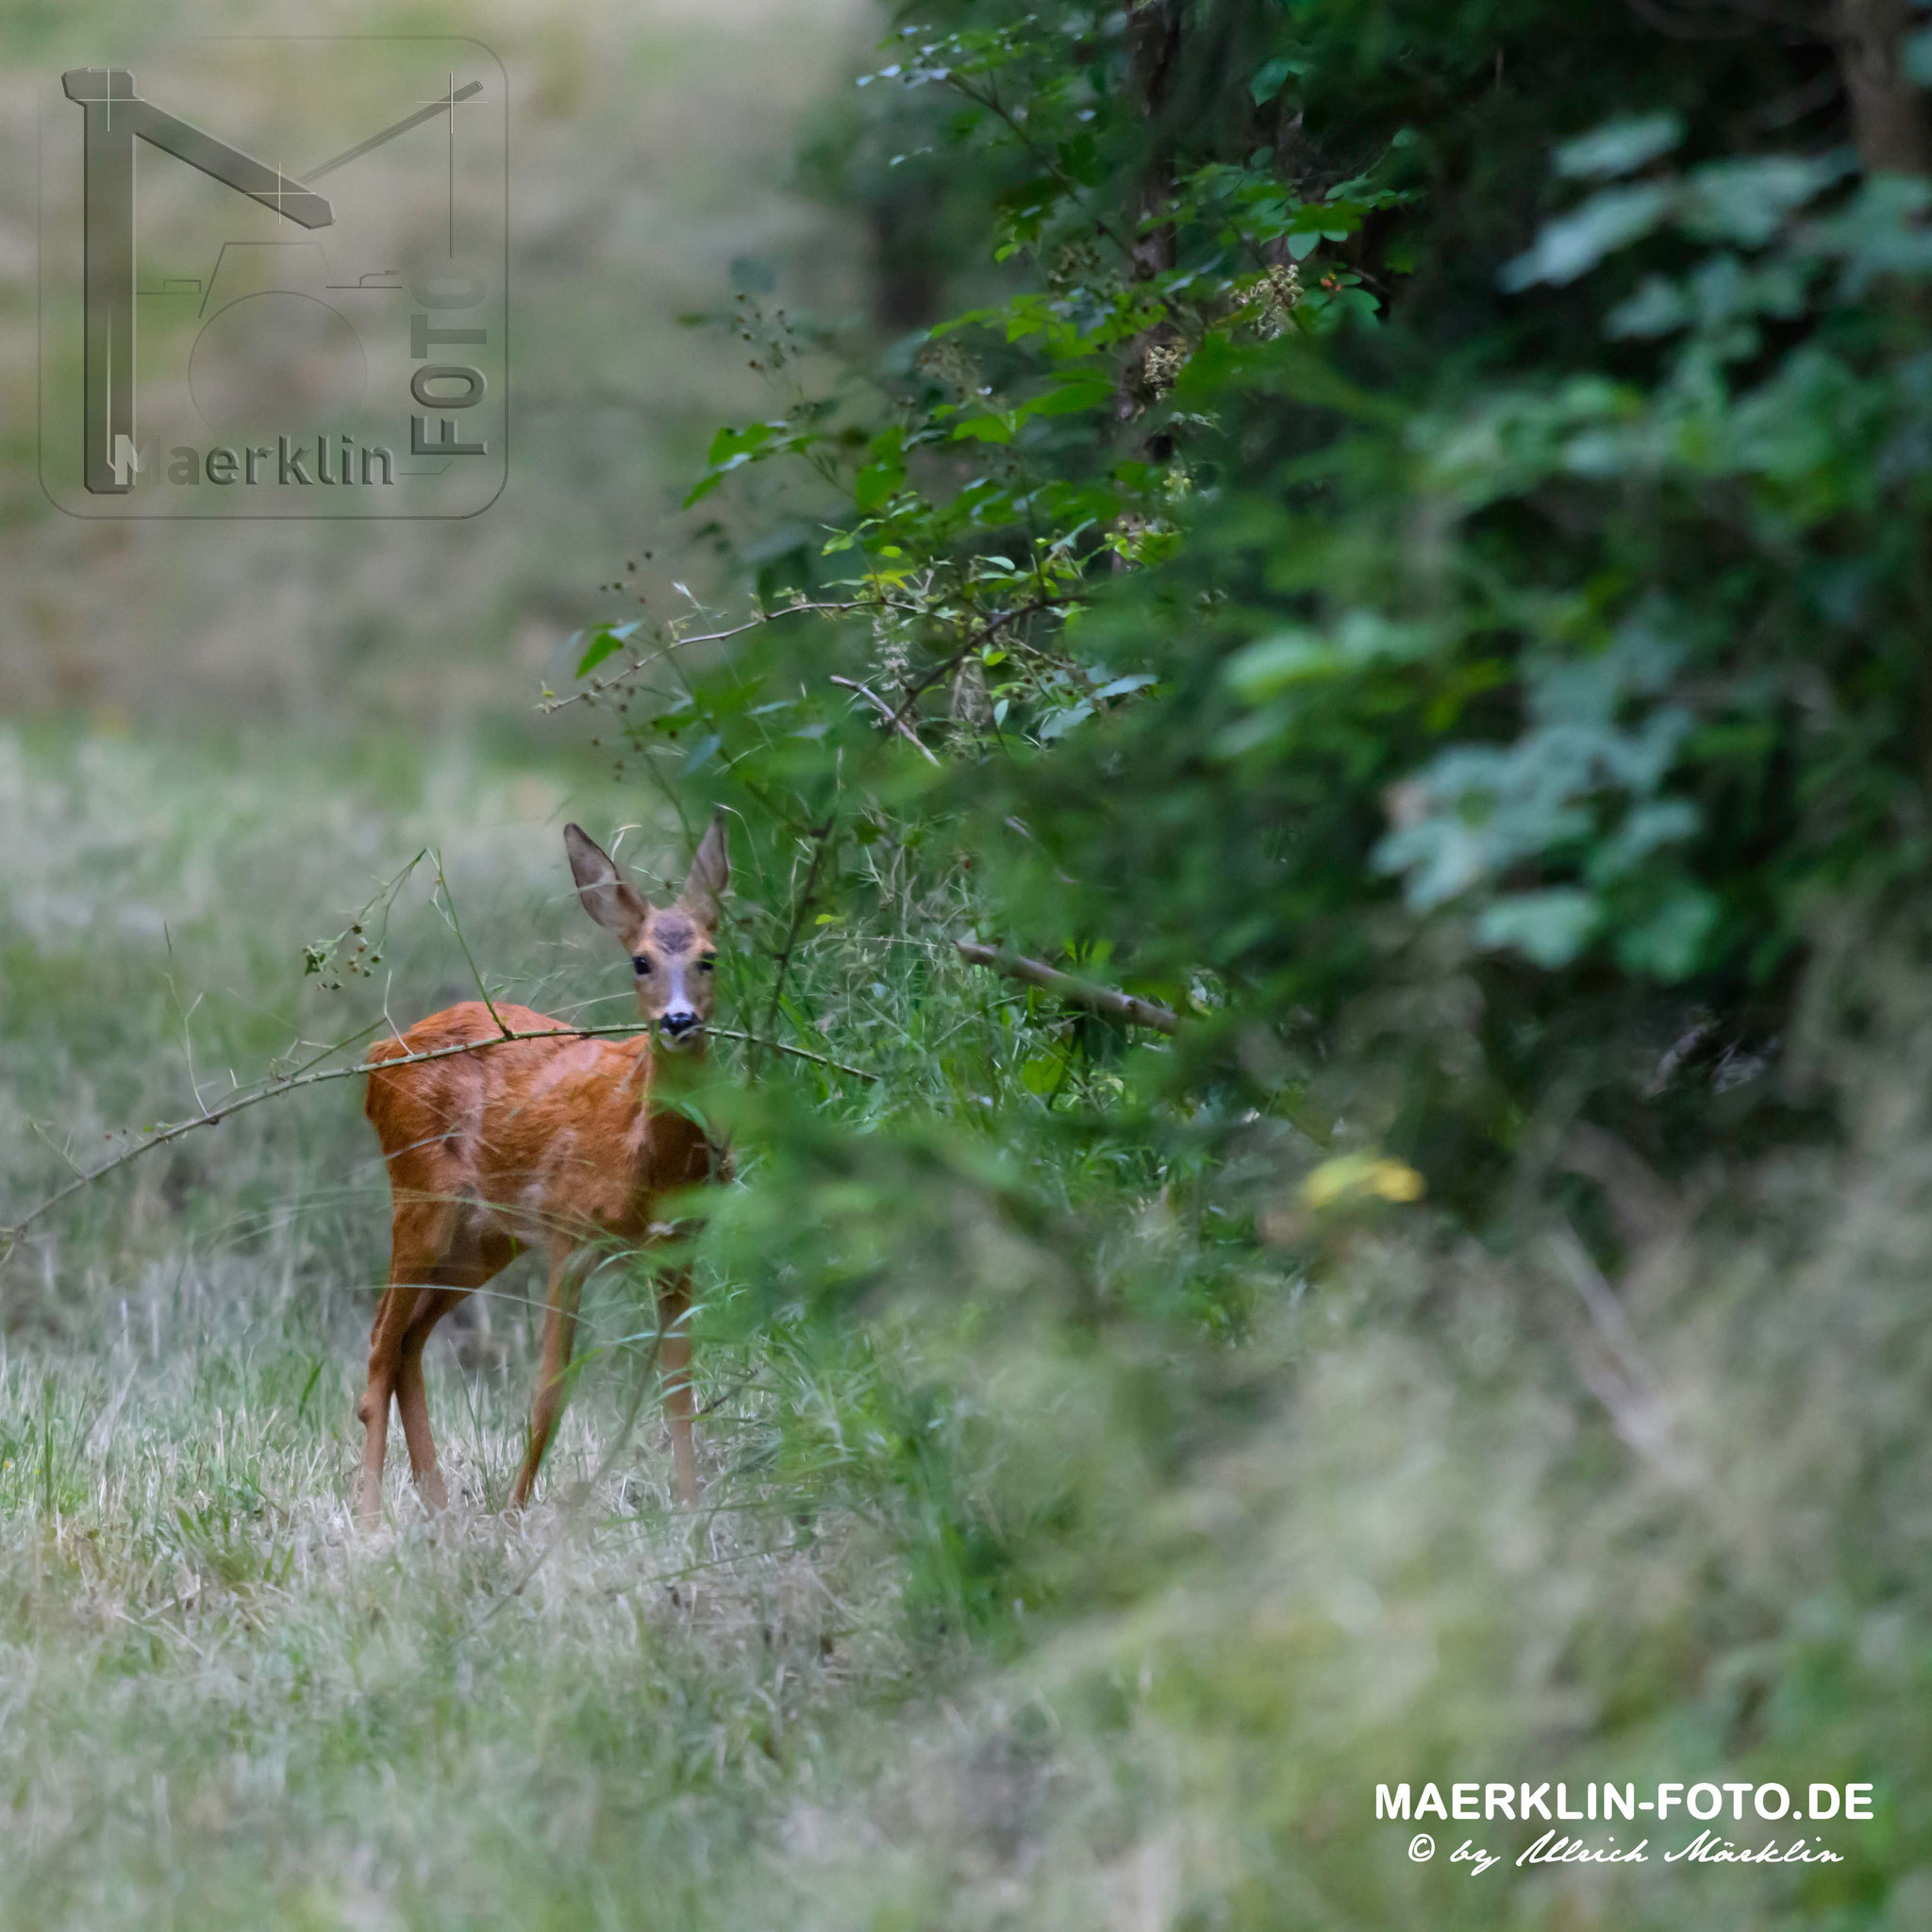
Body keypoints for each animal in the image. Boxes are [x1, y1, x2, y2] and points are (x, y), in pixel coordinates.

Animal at [355, 815, 730, 1522]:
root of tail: (380, 1055)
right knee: (379, 1348)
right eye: (640, 960)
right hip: (419, 1195)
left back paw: (439, 1508)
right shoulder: (569, 1235)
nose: (678, 1020)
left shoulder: (679, 1249)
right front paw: (512, 1515)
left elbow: (680, 1394)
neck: (647, 1157)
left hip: (485, 1237)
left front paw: (694, 1513)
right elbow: (549, 1394)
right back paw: (368, 1520)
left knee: (410, 1341)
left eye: (709, 957)